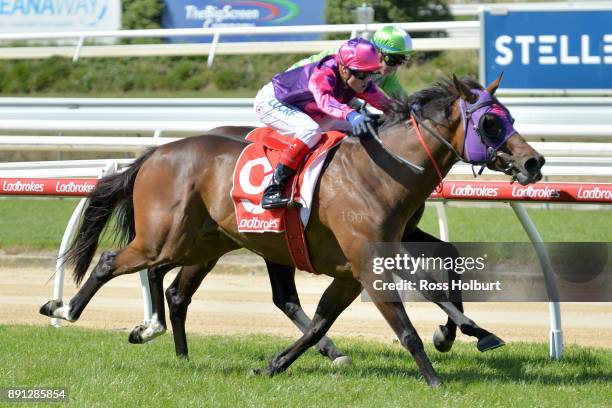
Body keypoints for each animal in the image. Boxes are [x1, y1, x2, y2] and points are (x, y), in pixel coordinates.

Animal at [40, 75, 544, 386]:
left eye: (510, 117)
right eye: (490, 121)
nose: (533, 162)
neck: (382, 169)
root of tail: (154, 154)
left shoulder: (357, 266)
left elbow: (326, 317)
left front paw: (275, 365)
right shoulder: (369, 262)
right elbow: (407, 323)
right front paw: (439, 373)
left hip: (203, 242)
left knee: (173, 287)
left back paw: (165, 340)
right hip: (165, 237)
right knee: (113, 262)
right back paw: (66, 309)